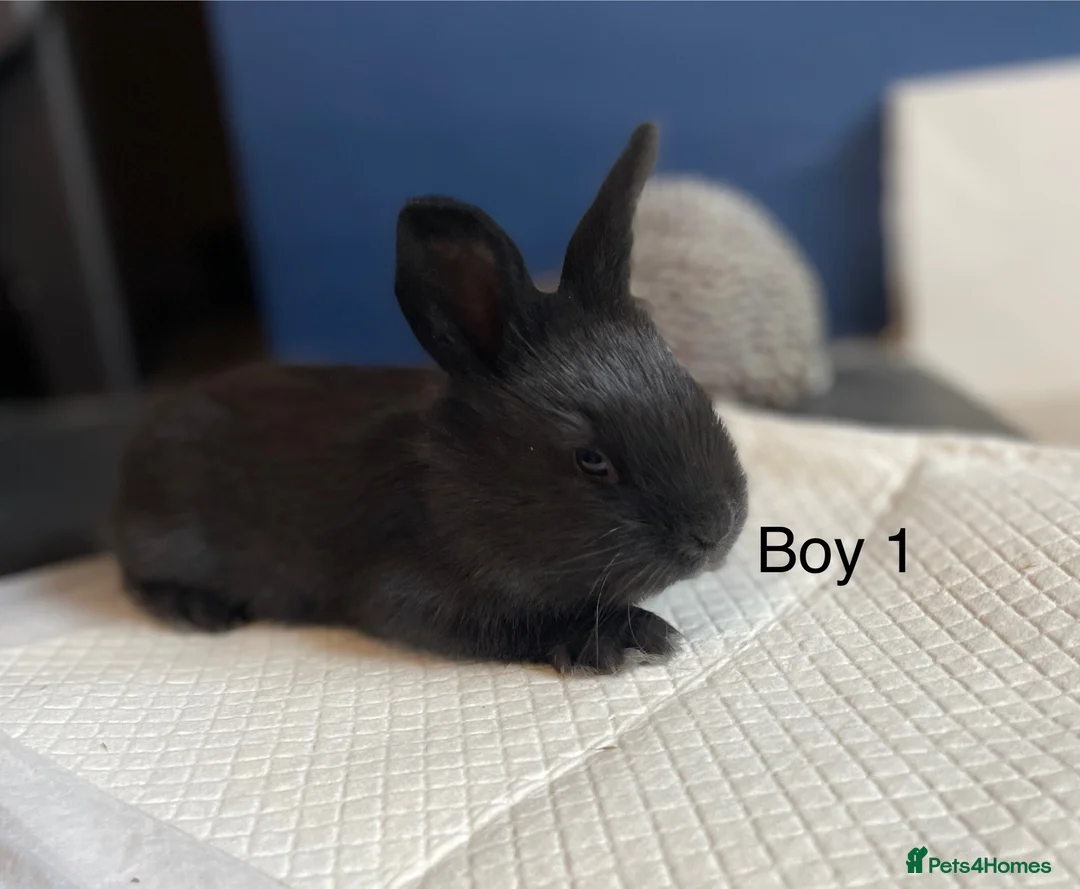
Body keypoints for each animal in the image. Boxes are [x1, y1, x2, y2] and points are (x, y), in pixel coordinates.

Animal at [109, 122, 749, 675]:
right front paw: (628, 637)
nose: (715, 533)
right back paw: (196, 608)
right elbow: (516, 621)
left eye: (695, 391)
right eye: (591, 461)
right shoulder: (404, 593)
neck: (453, 487)